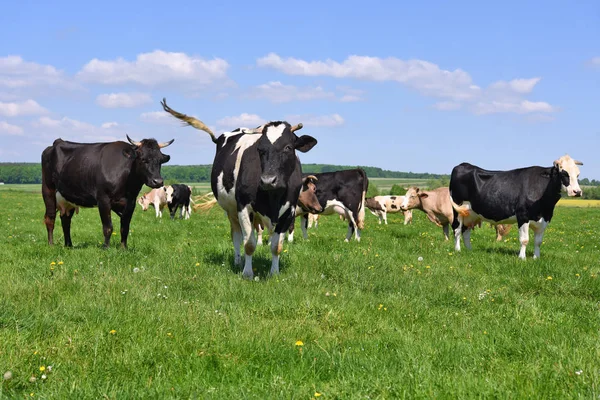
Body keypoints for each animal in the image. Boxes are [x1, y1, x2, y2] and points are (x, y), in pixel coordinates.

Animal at [41, 135, 173, 247]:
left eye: (160, 160)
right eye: (143, 159)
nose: (158, 181)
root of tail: (57, 142)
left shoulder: (131, 202)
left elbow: (125, 227)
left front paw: (123, 248)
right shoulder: (103, 199)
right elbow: (108, 227)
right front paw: (106, 248)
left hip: (68, 197)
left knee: (66, 220)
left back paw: (69, 245)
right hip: (48, 190)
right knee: (50, 218)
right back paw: (51, 245)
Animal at [162, 97, 316, 278]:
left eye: (288, 147)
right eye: (260, 149)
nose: (268, 180)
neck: (273, 197)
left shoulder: (288, 211)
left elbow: (276, 246)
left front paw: (274, 273)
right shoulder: (243, 206)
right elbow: (248, 243)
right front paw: (247, 273)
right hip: (231, 210)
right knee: (236, 235)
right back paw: (237, 261)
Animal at [452, 153, 584, 260]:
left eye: (578, 175)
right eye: (563, 173)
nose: (577, 192)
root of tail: (463, 165)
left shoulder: (545, 219)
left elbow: (538, 242)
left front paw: (536, 258)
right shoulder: (523, 216)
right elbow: (524, 240)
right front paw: (522, 258)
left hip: (471, 213)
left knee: (466, 230)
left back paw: (469, 250)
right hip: (457, 208)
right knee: (457, 230)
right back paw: (457, 250)